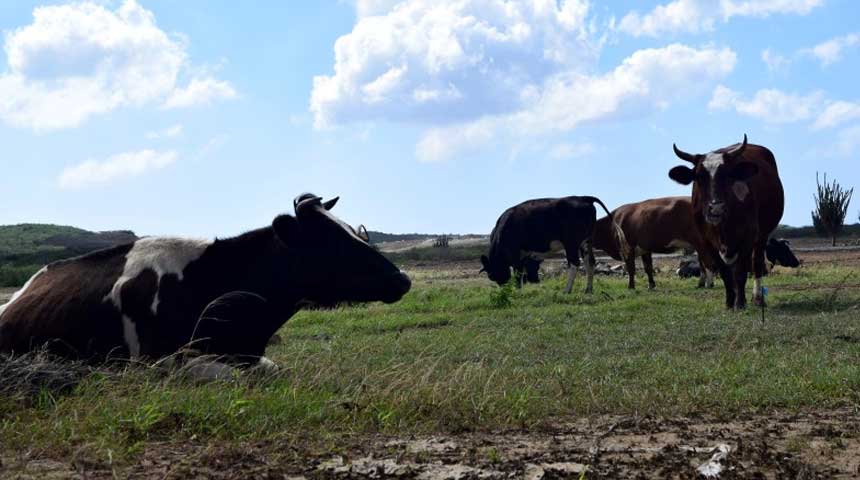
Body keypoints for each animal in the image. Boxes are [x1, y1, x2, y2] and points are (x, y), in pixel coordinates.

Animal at [480, 196, 626, 294]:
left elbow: (518, 273)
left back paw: (566, 290)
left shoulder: (515, 253)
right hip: (585, 242)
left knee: (574, 263)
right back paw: (588, 290)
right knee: (590, 262)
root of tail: (583, 198)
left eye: (492, 275)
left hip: (571, 243)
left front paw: (518, 292)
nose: (504, 289)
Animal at [669, 135, 785, 309]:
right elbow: (724, 272)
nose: (716, 207)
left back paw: (757, 298)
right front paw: (730, 301)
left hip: (762, 235)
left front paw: (740, 303)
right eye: (699, 176)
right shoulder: (707, 241)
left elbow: (741, 271)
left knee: (756, 263)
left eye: (727, 174)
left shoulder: (748, 235)